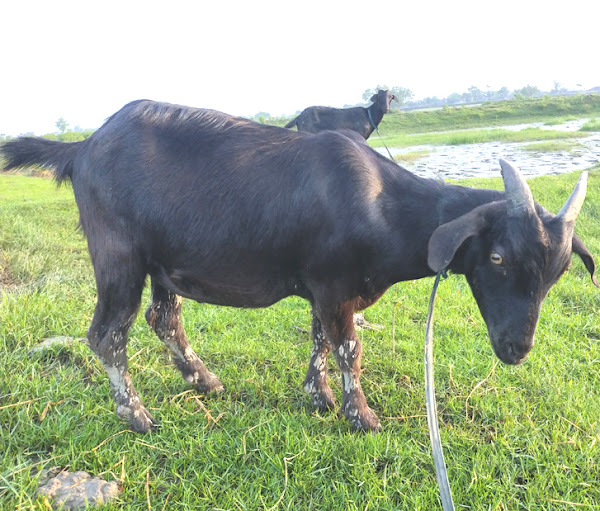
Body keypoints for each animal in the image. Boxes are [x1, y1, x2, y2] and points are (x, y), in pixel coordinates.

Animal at [2, 102, 596, 434]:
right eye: (497, 258)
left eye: (556, 273)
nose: (516, 349)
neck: (383, 205)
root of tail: (82, 148)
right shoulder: (333, 284)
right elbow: (348, 346)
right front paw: (361, 417)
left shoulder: (325, 287)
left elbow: (319, 338)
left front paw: (319, 397)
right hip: (119, 255)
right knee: (107, 334)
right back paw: (137, 417)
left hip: (162, 263)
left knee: (163, 319)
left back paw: (204, 380)